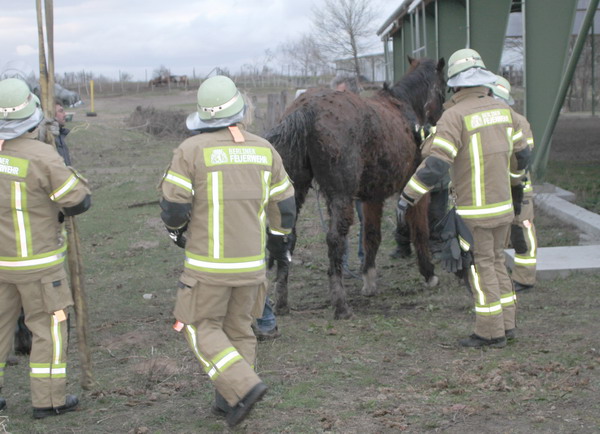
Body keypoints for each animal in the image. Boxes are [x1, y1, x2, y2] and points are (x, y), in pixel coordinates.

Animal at [266, 56, 446, 318]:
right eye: (443, 90)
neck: (404, 107)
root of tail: (306, 109)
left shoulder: (372, 197)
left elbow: (371, 236)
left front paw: (369, 279)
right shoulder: (414, 189)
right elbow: (419, 231)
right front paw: (429, 273)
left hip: (295, 191)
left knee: (288, 236)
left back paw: (281, 301)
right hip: (341, 197)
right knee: (334, 240)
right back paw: (341, 304)